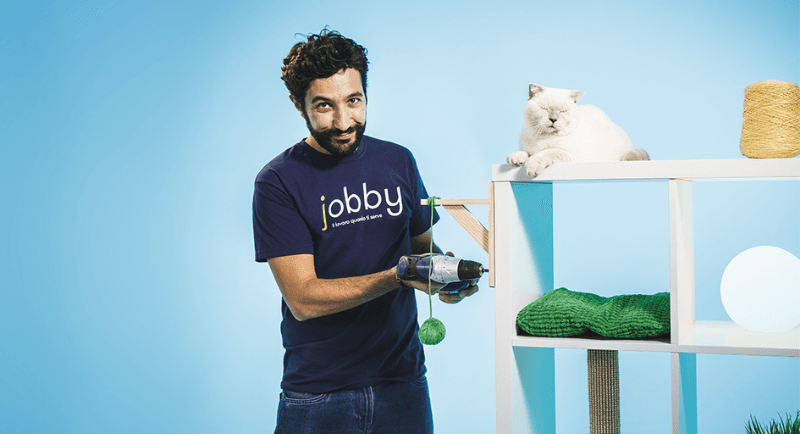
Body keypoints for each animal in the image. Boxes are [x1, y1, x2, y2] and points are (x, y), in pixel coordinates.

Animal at [506, 85, 648, 176]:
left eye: (563, 111)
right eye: (544, 109)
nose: (553, 119)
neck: (544, 138)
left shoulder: (577, 156)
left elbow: (550, 152)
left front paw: (532, 166)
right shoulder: (527, 148)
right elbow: (524, 153)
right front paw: (516, 159)